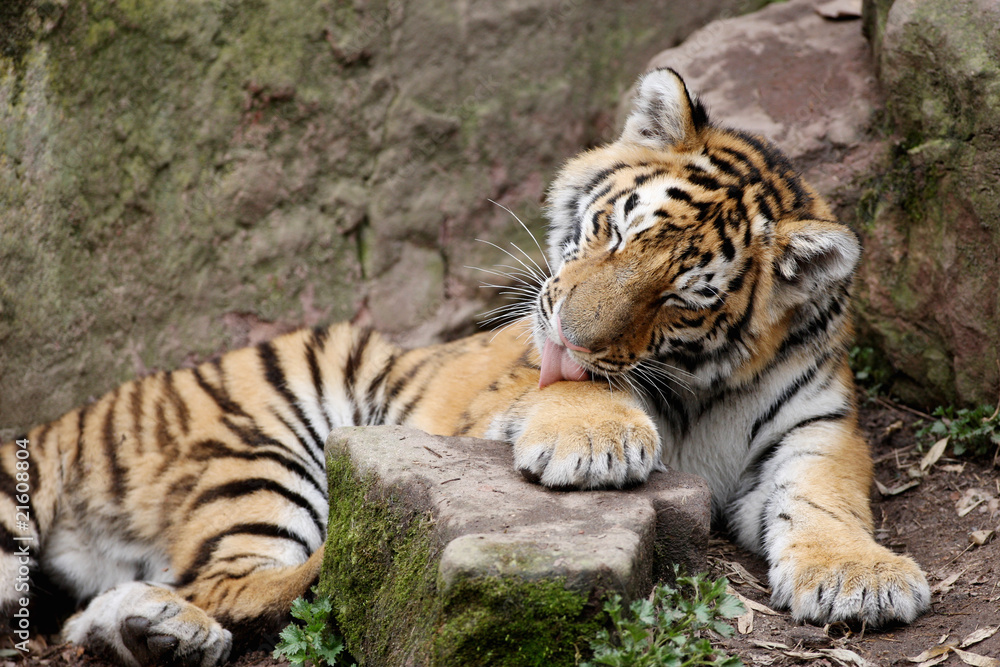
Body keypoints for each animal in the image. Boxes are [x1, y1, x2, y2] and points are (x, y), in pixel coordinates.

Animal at [1, 68, 930, 666]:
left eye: (679, 298)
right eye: (613, 233)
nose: (567, 337)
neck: (702, 384)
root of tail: (58, 423)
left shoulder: (819, 428)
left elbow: (829, 499)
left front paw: (859, 577)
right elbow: (572, 394)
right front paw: (595, 439)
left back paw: (151, 629)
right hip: (268, 443)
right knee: (256, 578)